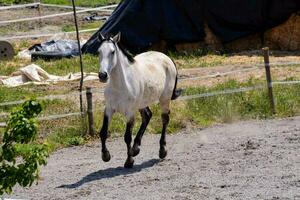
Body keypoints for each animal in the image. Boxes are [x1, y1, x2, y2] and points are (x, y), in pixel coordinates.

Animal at [98, 32, 180, 167]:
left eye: (112, 52)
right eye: (99, 51)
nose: (102, 75)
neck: (120, 85)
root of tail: (166, 57)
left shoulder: (130, 113)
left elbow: (127, 137)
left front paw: (129, 161)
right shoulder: (109, 109)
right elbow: (103, 132)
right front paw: (105, 156)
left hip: (164, 99)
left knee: (165, 119)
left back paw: (162, 150)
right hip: (142, 103)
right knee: (147, 115)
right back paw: (136, 148)